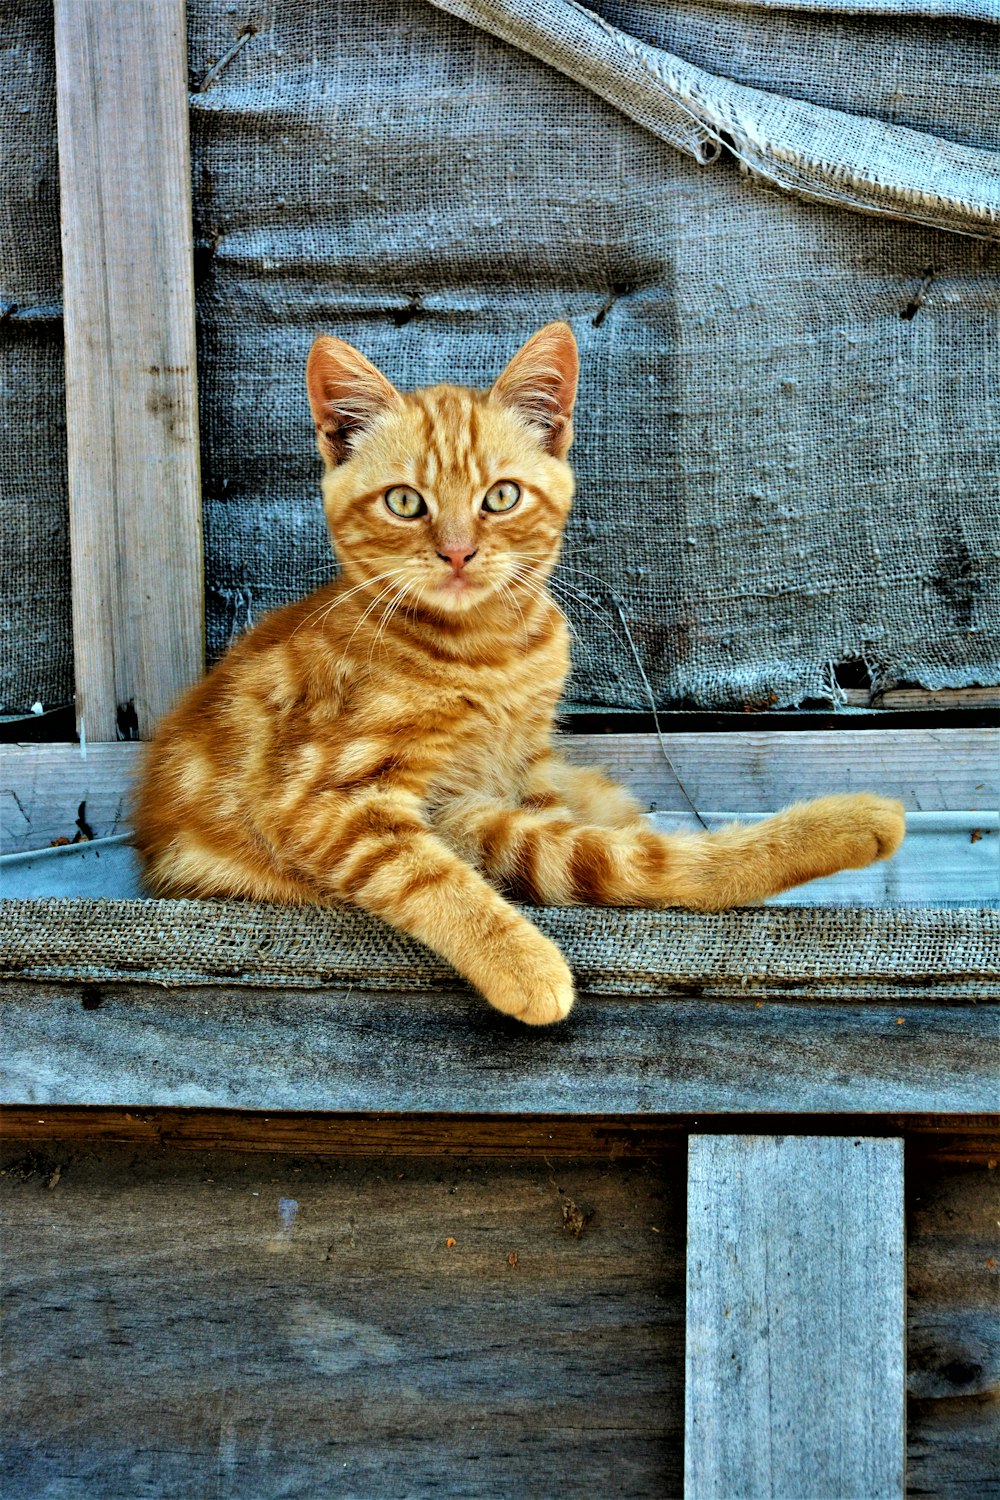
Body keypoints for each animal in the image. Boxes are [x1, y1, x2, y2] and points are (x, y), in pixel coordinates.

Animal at [134, 322, 905, 1026]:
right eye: (405, 502)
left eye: (500, 497)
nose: (457, 553)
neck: (489, 651)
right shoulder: (321, 800)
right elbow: (432, 877)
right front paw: (522, 963)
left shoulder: (520, 776)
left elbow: (592, 848)